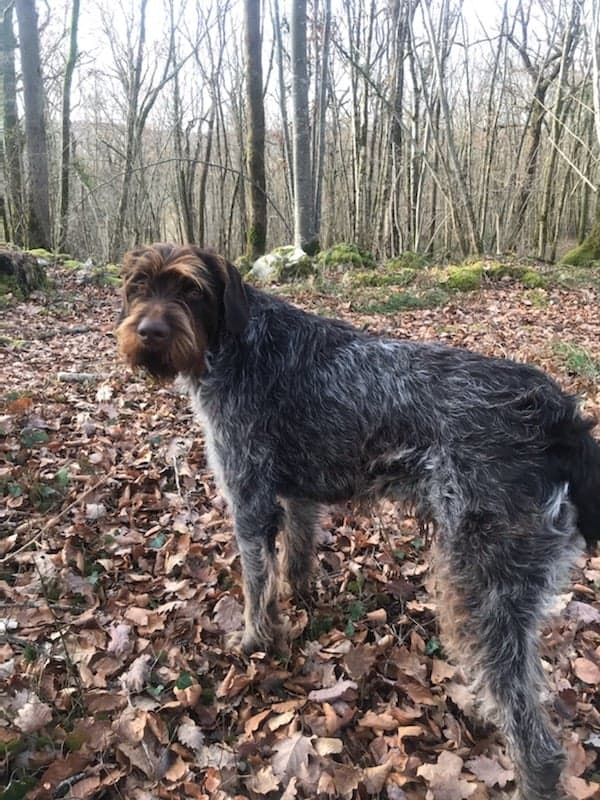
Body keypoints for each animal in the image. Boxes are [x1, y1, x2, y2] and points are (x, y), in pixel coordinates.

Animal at [118, 242, 600, 800]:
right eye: (138, 286)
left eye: (191, 289)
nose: (150, 332)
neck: (238, 343)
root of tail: (560, 417)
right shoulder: (297, 495)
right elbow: (297, 552)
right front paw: (298, 596)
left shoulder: (249, 498)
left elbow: (256, 580)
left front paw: (256, 641)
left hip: (486, 583)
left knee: (536, 738)